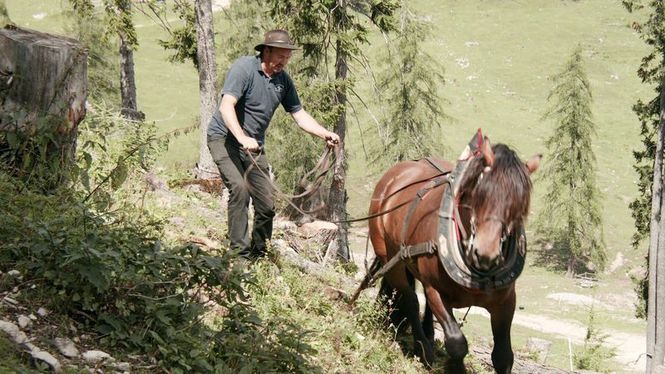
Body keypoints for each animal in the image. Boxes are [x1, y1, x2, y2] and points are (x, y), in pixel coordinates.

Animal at [364, 135, 540, 374]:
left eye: (520, 205)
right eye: (480, 194)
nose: (486, 254)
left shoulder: (505, 301)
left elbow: (503, 356)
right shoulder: (436, 291)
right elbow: (456, 342)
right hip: (391, 259)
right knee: (410, 299)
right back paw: (423, 348)